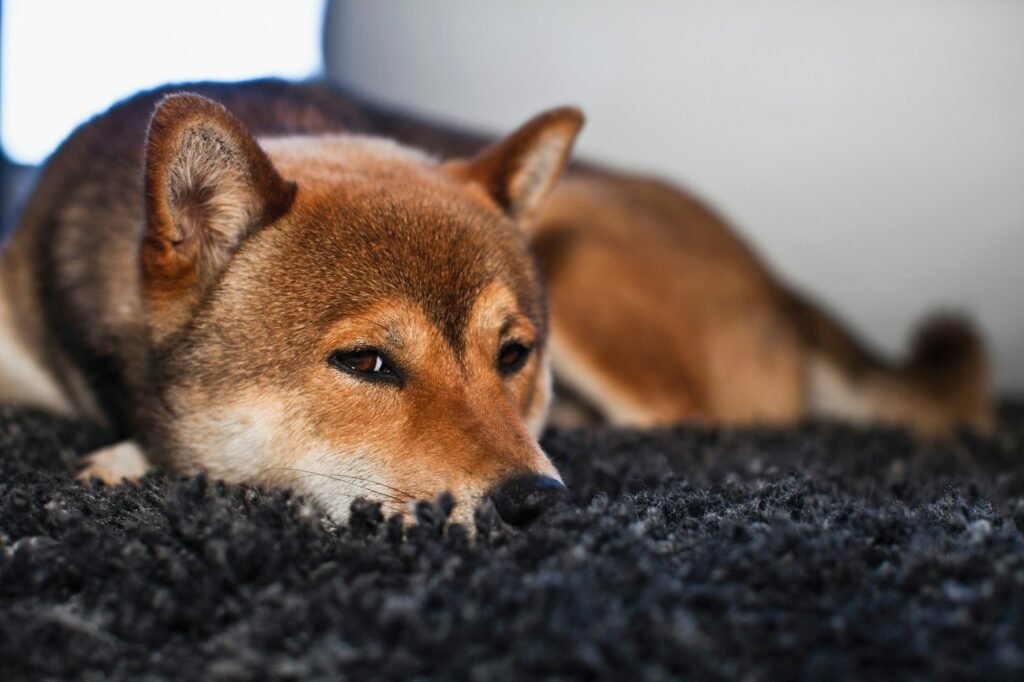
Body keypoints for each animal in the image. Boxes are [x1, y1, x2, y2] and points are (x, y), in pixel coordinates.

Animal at [0, 79, 991, 524]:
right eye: (366, 362)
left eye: (512, 355)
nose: (533, 502)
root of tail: (783, 288)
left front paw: (130, 460)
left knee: (691, 416)